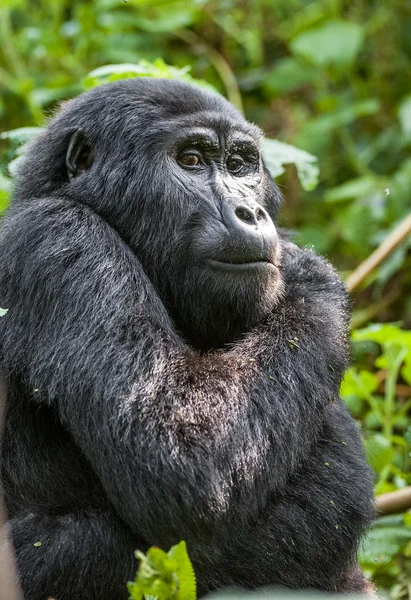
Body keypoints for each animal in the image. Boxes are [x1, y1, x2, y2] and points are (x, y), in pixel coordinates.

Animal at [0, 79, 374, 600]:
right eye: (192, 160)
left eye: (240, 164)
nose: (251, 213)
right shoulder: (60, 240)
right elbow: (180, 456)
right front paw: (309, 278)